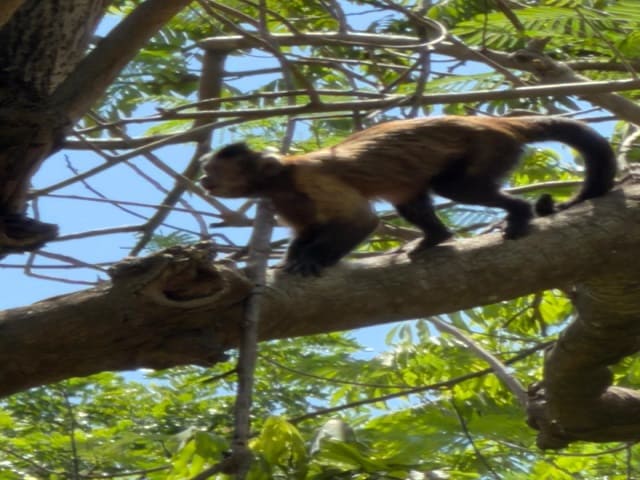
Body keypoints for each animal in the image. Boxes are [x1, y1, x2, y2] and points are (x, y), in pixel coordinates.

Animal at [200, 116, 616, 276]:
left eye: (212, 172)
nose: (203, 181)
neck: (280, 177)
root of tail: (497, 121)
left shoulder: (309, 177)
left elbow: (360, 221)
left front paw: (312, 261)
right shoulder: (282, 197)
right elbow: (307, 231)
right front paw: (293, 259)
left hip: (489, 147)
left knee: (455, 188)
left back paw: (519, 214)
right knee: (411, 199)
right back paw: (436, 237)